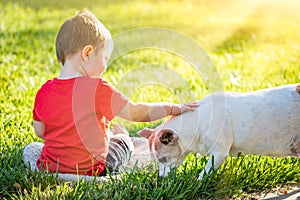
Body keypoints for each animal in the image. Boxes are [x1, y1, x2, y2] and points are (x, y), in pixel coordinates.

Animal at [138, 83, 300, 180]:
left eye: (163, 159)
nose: (160, 178)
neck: (197, 123)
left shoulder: (219, 154)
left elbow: (204, 173)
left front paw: (197, 185)